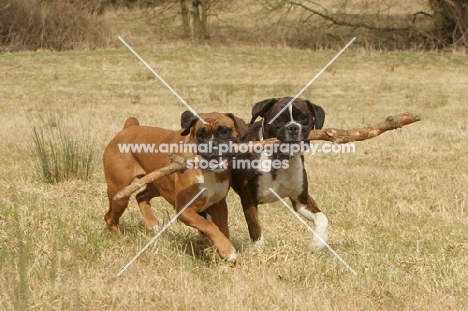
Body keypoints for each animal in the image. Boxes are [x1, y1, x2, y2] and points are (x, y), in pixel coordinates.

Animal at [102, 113, 249, 262]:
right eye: (201, 135)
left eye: (224, 131)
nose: (211, 145)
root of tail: (128, 128)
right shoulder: (185, 210)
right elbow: (209, 225)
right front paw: (227, 250)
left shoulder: (219, 206)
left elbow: (223, 229)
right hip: (120, 194)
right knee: (109, 217)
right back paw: (120, 238)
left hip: (156, 184)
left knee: (140, 196)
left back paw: (152, 223)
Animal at [231, 97, 330, 251]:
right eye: (279, 120)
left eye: (303, 118)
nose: (293, 127)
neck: (278, 159)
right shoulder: (248, 199)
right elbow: (254, 226)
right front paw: (260, 250)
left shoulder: (301, 200)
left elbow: (322, 218)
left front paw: (318, 243)